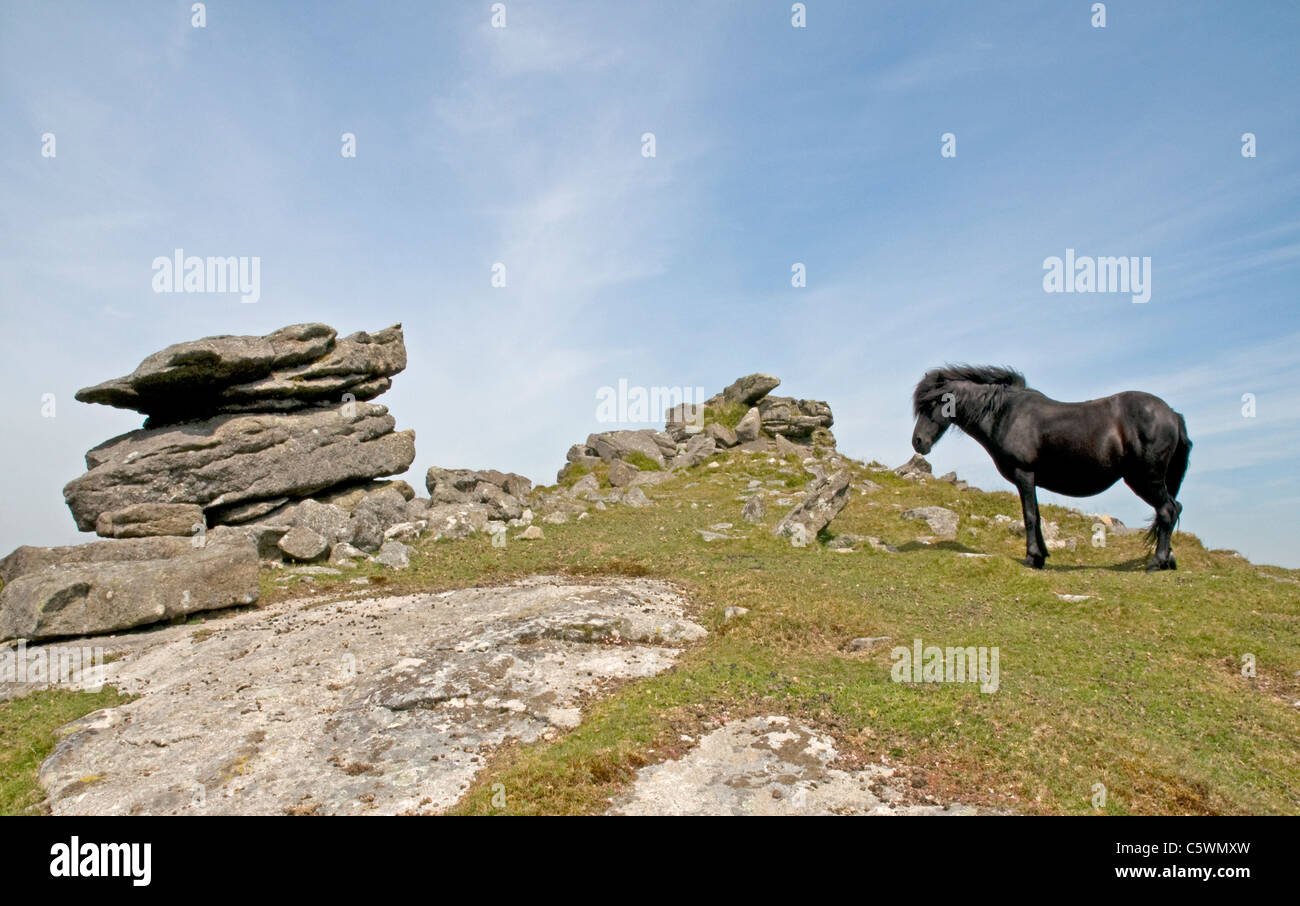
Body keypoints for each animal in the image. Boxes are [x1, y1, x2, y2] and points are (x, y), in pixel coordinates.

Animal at [915, 366, 1190, 566]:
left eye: (932, 403)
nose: (917, 442)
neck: (1006, 414)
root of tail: (1172, 415)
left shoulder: (1024, 475)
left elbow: (1028, 516)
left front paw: (1032, 558)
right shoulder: (1031, 479)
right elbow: (1036, 514)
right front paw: (1042, 555)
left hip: (1146, 479)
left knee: (1167, 510)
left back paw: (1157, 561)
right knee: (1174, 508)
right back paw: (1168, 559)